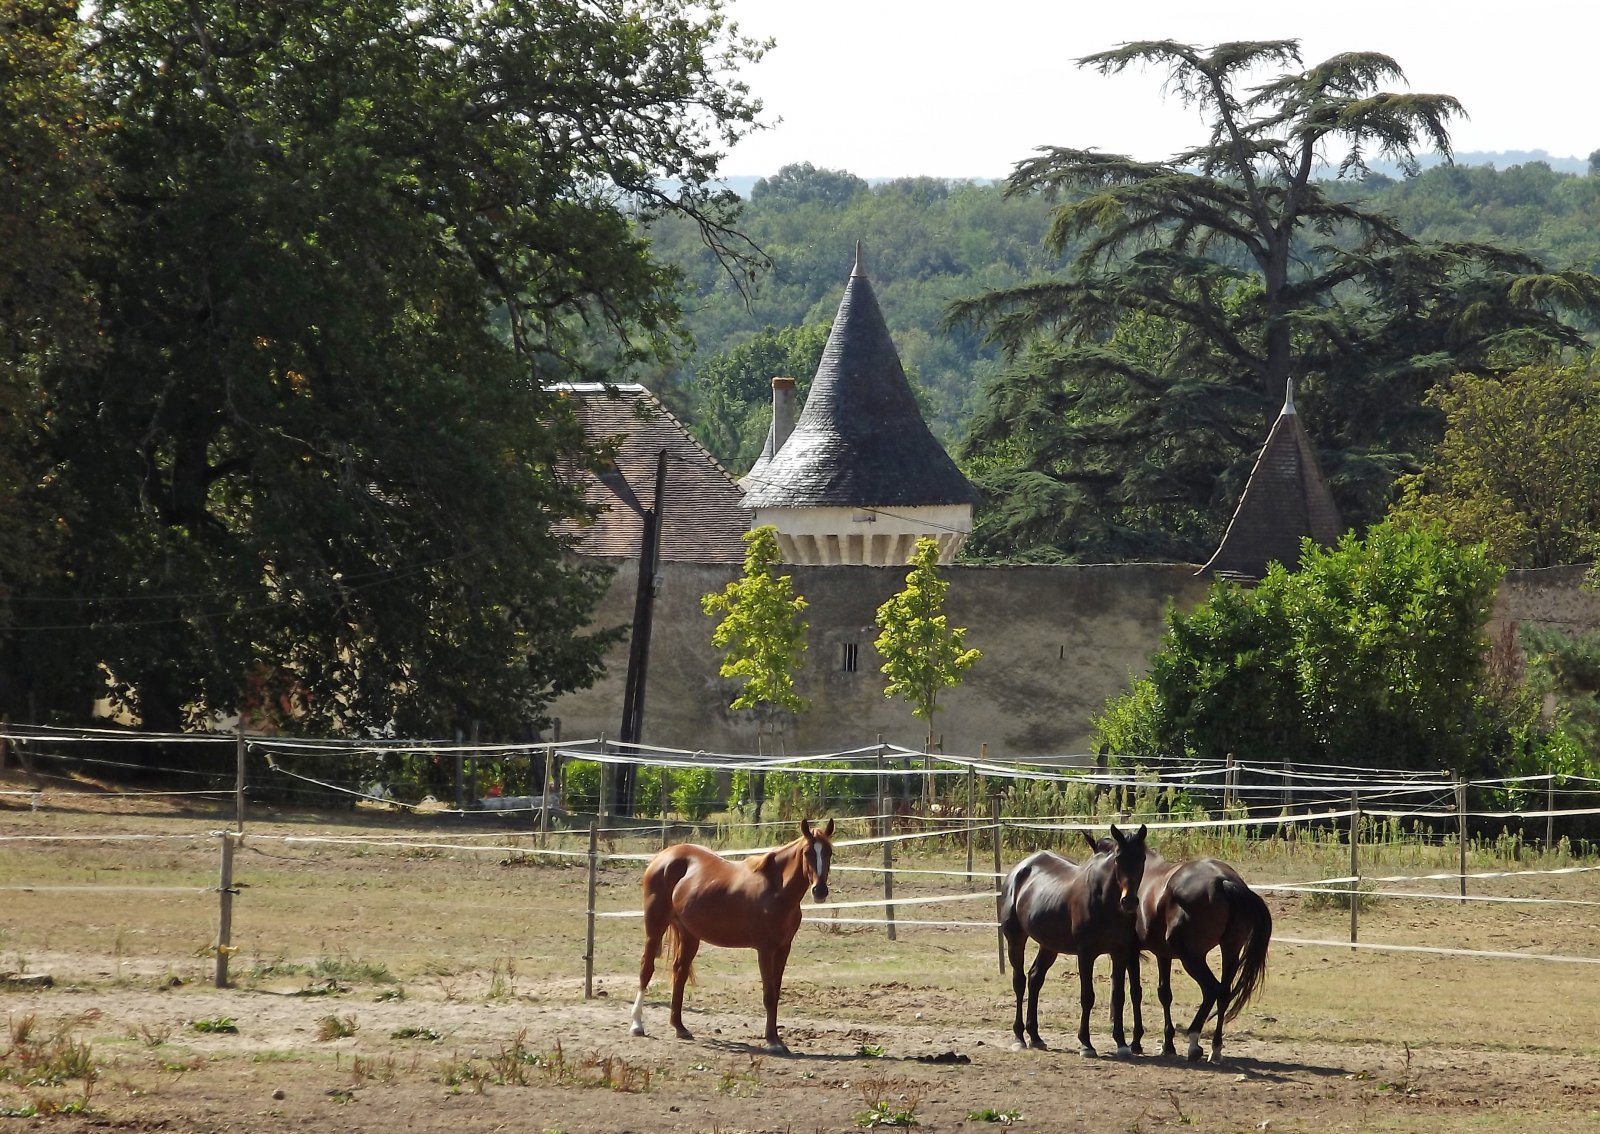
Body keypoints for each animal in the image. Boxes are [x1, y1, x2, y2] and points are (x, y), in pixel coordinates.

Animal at [627, 812, 838, 1055]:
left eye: (829, 852)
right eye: (807, 852)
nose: (820, 891)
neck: (776, 891)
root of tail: (662, 857)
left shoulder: (783, 948)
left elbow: (776, 993)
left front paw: (777, 1039)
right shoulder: (765, 949)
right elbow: (769, 994)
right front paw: (772, 1041)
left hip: (689, 934)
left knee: (679, 972)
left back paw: (680, 1027)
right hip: (655, 927)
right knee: (646, 969)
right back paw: (637, 1025)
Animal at [998, 825, 1152, 1055]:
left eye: (1141, 858)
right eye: (1118, 858)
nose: (1130, 901)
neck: (1104, 902)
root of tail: (1019, 870)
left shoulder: (1120, 953)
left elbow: (1118, 996)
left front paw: (1121, 1043)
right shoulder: (1086, 953)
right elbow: (1087, 996)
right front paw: (1086, 1043)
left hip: (1049, 946)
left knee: (1034, 978)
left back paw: (1035, 1036)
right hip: (1015, 939)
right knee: (1019, 982)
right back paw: (1019, 1037)